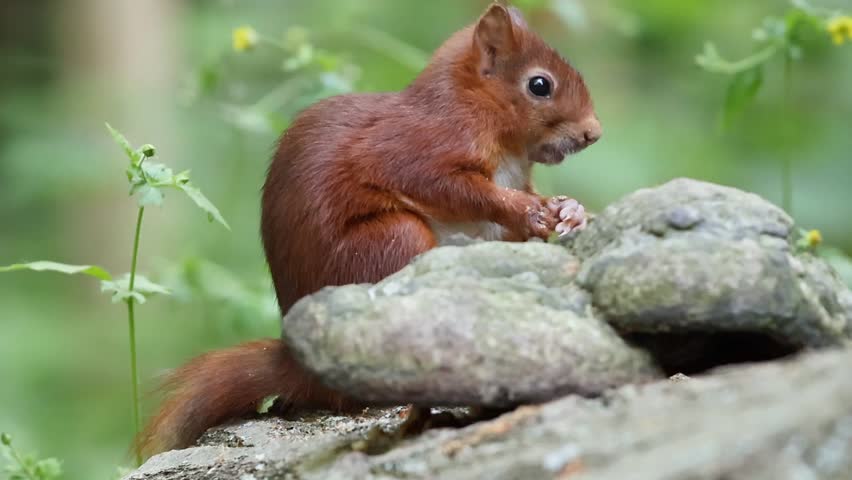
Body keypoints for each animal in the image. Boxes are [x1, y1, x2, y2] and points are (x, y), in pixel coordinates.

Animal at [138, 1, 600, 457]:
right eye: (539, 85)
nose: (593, 133)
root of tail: (306, 374)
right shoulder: (416, 150)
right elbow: (455, 188)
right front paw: (531, 211)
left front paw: (571, 210)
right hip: (393, 241)